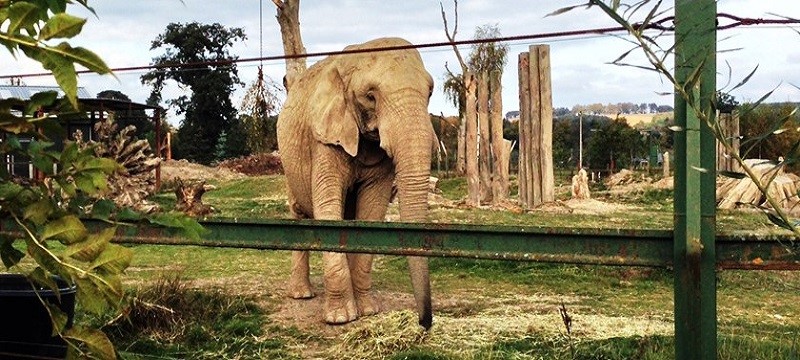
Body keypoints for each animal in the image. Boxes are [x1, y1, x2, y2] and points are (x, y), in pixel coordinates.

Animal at [278, 37, 434, 330]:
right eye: (370, 96)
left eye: (430, 92)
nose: (425, 323)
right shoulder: (324, 137)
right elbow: (328, 204)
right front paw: (341, 318)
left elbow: (372, 210)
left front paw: (368, 311)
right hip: (288, 163)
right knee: (299, 213)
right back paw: (302, 295)